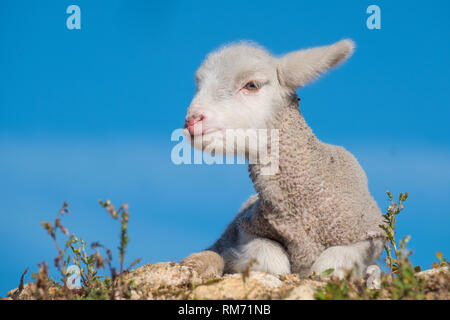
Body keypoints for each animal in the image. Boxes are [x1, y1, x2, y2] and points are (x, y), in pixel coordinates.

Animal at [181, 38, 384, 282]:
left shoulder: (369, 233)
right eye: (199, 84)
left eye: (251, 85)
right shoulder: (247, 227)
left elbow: (331, 262)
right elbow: (270, 259)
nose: (192, 121)